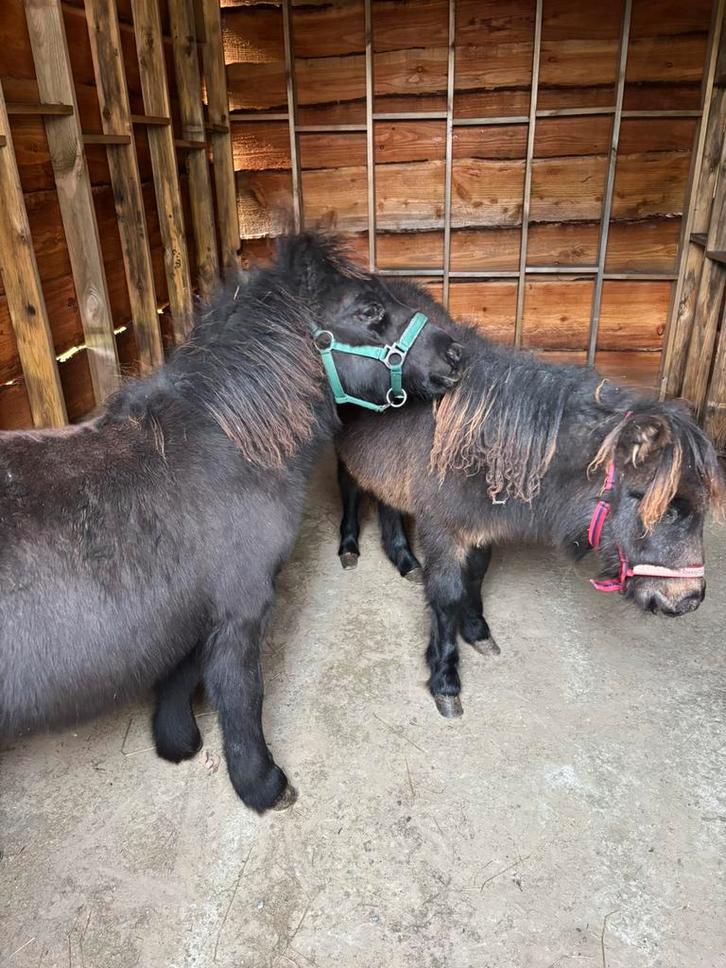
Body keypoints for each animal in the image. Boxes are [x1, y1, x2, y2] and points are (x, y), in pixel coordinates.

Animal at [0, 233, 465, 812]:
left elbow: (180, 674)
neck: (223, 447)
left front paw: (177, 742)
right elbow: (241, 695)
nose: (456, 353)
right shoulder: (240, 612)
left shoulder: (195, 613)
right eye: (369, 311)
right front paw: (263, 784)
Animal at [335, 282, 725, 718]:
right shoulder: (443, 530)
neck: (482, 441)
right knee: (350, 487)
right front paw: (446, 679)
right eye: (654, 503)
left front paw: (477, 631)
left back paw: (403, 559)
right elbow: (447, 594)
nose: (688, 600)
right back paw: (349, 546)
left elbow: (475, 577)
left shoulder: (480, 526)